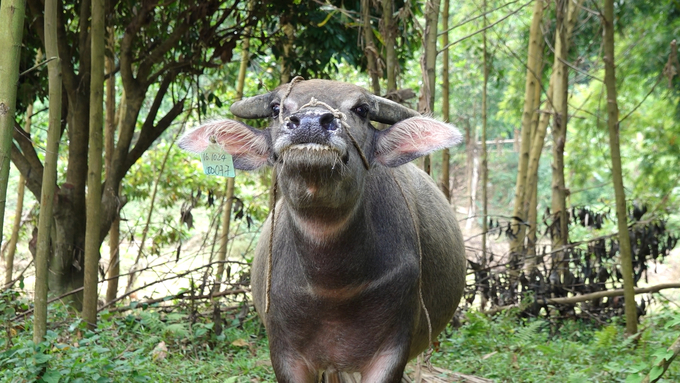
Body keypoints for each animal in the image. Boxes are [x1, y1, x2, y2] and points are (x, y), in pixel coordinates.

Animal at [178, 79, 468, 383]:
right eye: (276, 108)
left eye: (362, 109)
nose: (310, 122)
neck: (331, 286)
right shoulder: (285, 352)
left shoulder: (392, 349)